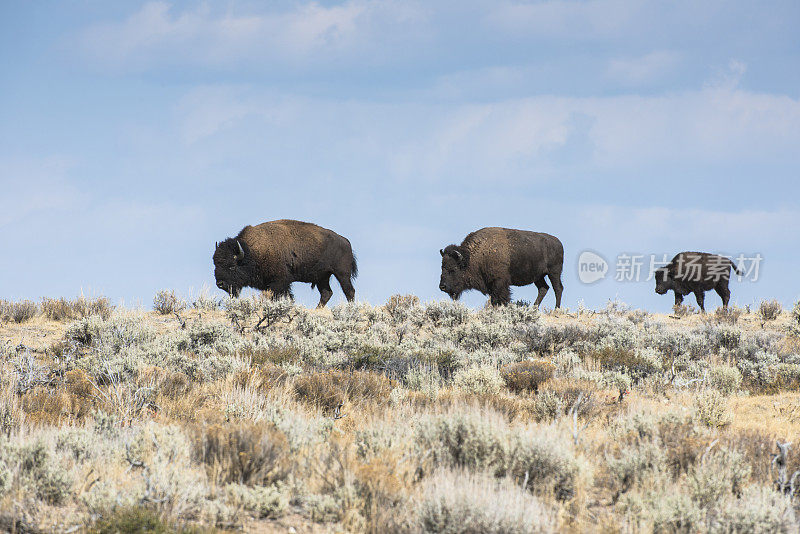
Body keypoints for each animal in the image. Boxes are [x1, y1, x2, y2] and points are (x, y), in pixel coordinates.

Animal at [216, 220, 360, 308]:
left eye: (232, 266)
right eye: (215, 264)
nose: (220, 284)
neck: (251, 251)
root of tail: (345, 240)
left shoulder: (280, 282)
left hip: (342, 274)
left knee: (349, 291)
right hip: (322, 277)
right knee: (326, 293)